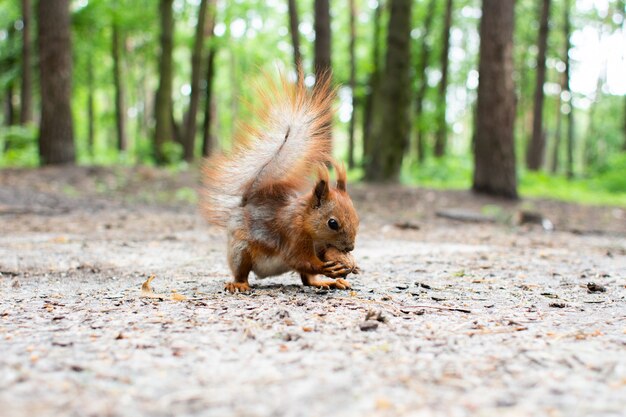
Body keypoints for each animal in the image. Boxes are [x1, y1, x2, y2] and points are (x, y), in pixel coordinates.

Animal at [197, 70, 358, 292]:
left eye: (357, 218)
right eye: (332, 223)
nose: (350, 247)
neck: (307, 223)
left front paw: (347, 267)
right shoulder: (292, 236)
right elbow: (299, 259)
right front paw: (328, 268)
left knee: (308, 280)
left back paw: (326, 282)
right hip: (240, 249)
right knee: (242, 271)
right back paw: (239, 284)